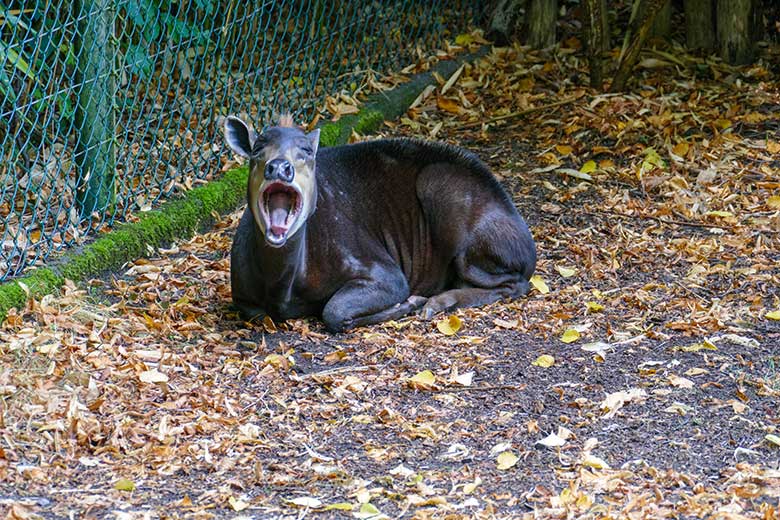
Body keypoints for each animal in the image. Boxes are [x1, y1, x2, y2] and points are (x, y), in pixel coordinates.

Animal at [222, 115, 532, 332]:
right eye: (257, 149)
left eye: (307, 152)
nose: (279, 167)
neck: (283, 286)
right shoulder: (244, 299)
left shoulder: (382, 269)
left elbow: (335, 311)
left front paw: (412, 302)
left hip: (443, 193)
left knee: (516, 283)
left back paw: (436, 302)